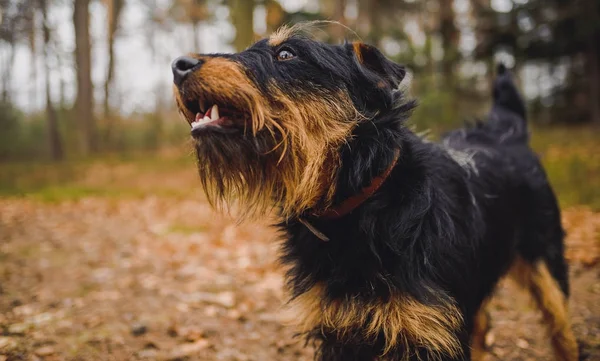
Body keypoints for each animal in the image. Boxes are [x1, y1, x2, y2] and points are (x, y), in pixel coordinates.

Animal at [171, 24, 580, 360]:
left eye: (286, 54)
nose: (178, 64)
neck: (361, 205)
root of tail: (507, 131)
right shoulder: (338, 332)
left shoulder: (432, 332)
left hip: (548, 270)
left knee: (563, 333)